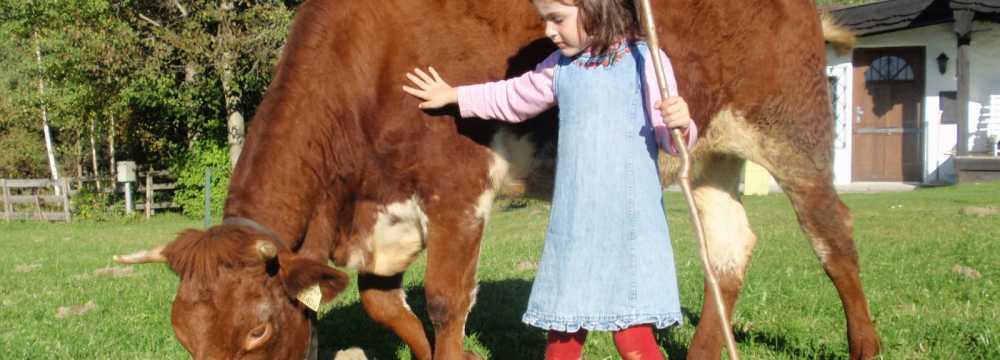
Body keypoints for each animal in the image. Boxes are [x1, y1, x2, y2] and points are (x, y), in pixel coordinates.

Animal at [115, 0, 884, 358]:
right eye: (183, 336)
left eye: (255, 331)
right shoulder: (384, 215)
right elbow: (382, 305)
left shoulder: (456, 192)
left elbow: (446, 301)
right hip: (707, 153)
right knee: (729, 246)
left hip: (791, 127)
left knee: (834, 237)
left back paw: (864, 343)